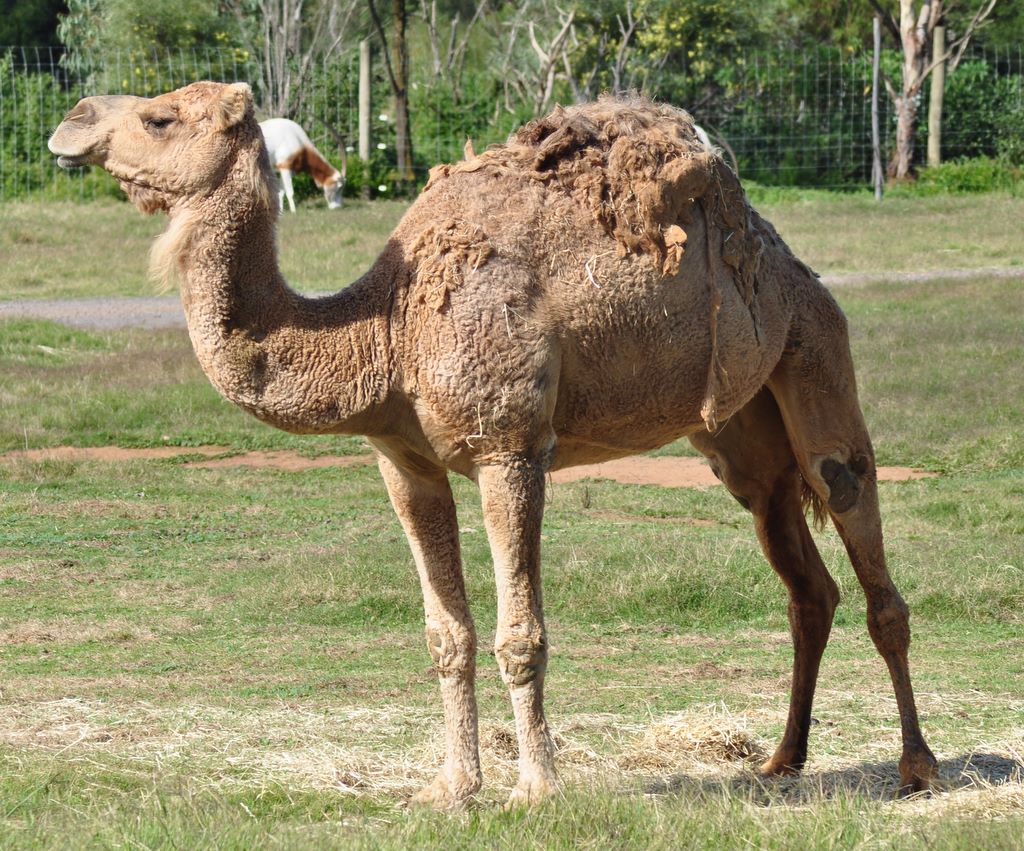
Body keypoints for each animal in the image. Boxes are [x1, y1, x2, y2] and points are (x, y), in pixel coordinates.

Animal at [48, 81, 938, 808]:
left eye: (160, 117)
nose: (73, 120)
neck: (386, 329)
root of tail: (791, 263)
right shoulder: (404, 462)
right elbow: (447, 634)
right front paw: (453, 786)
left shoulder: (508, 448)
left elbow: (521, 632)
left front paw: (536, 789)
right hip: (736, 434)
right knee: (803, 577)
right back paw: (783, 758)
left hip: (815, 352)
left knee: (858, 519)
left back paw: (916, 766)